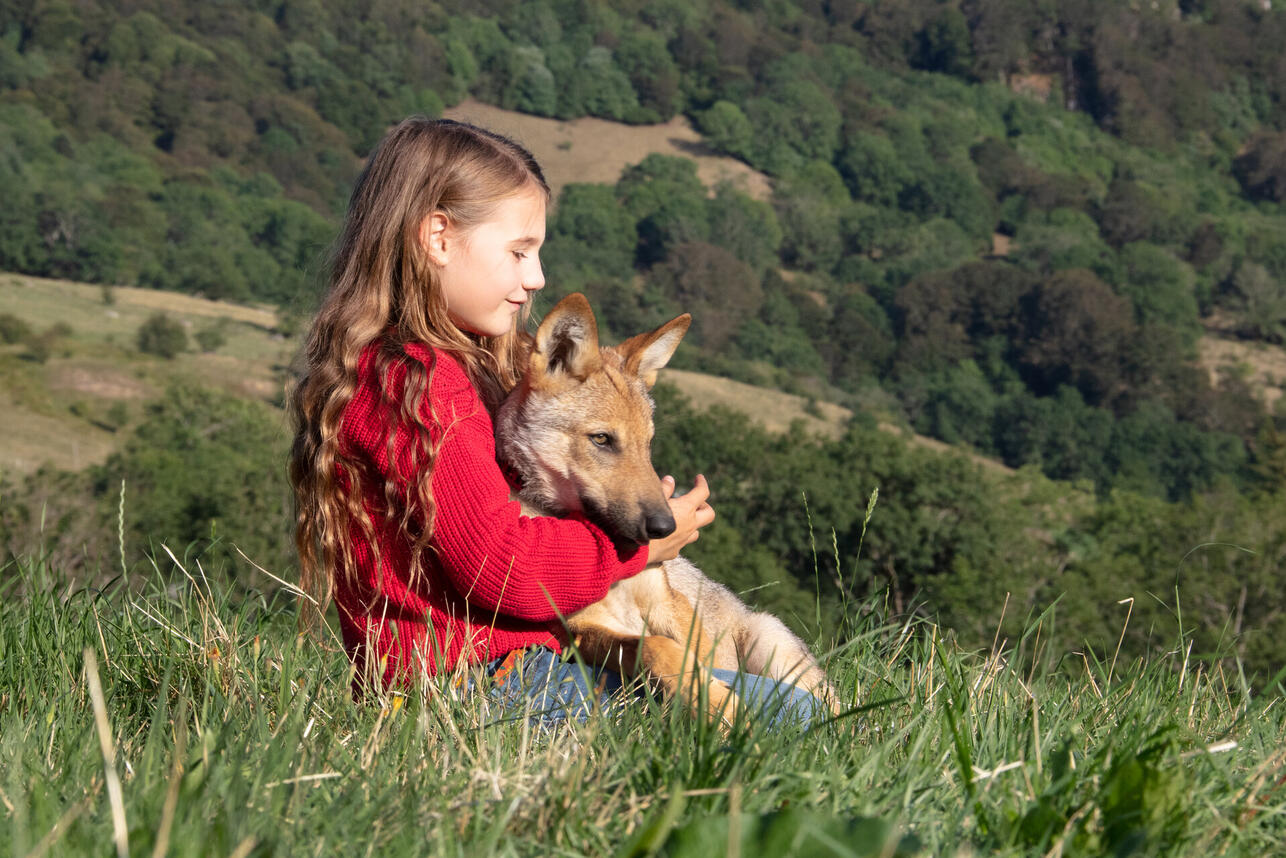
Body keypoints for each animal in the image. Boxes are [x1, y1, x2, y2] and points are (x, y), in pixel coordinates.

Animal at [491, 293, 833, 725]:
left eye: (648, 444)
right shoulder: (584, 631)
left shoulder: (671, 606)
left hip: (771, 642)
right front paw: (712, 705)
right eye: (602, 440)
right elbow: (656, 648)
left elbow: (698, 656)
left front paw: (713, 704)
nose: (666, 526)